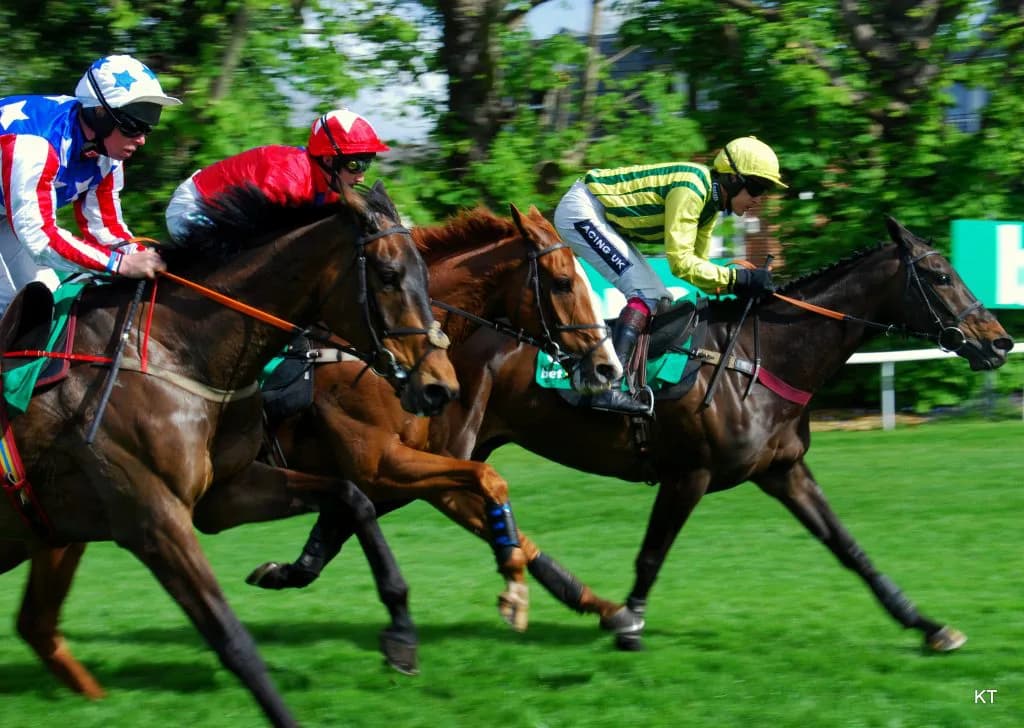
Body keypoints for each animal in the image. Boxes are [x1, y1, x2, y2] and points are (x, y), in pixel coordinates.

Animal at [0, 181, 460, 728]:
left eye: (426, 273)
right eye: (389, 276)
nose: (440, 388)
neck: (173, 351)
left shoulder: (225, 493)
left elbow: (354, 498)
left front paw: (401, 633)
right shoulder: (154, 521)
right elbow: (233, 640)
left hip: (51, 534)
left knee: (35, 622)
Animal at [6, 203, 619, 698]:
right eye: (562, 282)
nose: (608, 367)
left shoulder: (397, 474)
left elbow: (484, 510)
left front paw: (602, 608)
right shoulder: (384, 465)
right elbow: (486, 484)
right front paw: (507, 590)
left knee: (37, 618)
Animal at [250, 215, 1012, 654]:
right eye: (939, 273)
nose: (999, 340)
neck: (760, 356)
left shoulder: (783, 471)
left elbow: (850, 548)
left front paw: (926, 623)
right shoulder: (689, 473)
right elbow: (652, 555)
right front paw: (631, 619)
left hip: (455, 448)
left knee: (378, 501)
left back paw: (292, 569)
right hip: (441, 445)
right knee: (387, 497)